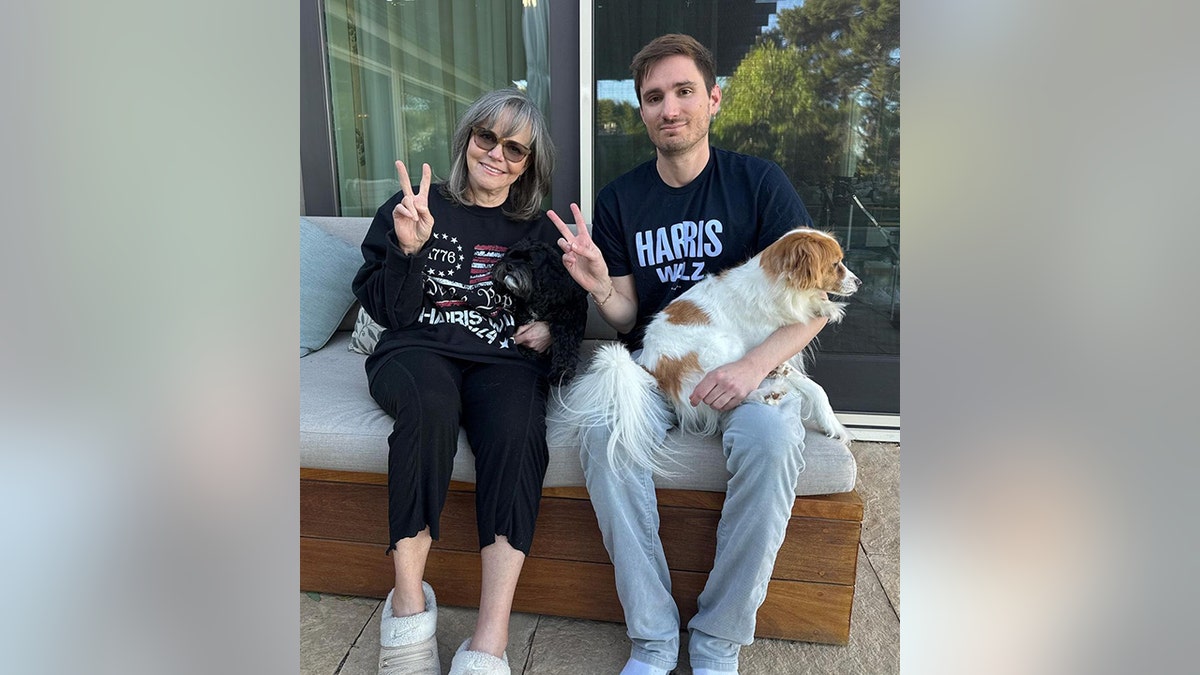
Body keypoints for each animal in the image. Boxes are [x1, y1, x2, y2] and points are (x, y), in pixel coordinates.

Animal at [489, 236, 588, 384]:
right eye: (512, 255)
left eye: (530, 262)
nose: (509, 265)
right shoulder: (522, 317)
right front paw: (528, 352)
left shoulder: (568, 320)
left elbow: (565, 345)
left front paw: (561, 373)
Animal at [561, 225, 864, 473]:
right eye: (836, 264)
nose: (859, 281)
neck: (781, 287)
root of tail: (650, 367)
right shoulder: (768, 352)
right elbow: (815, 388)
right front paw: (833, 424)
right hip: (724, 344)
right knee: (715, 397)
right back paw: (767, 392)